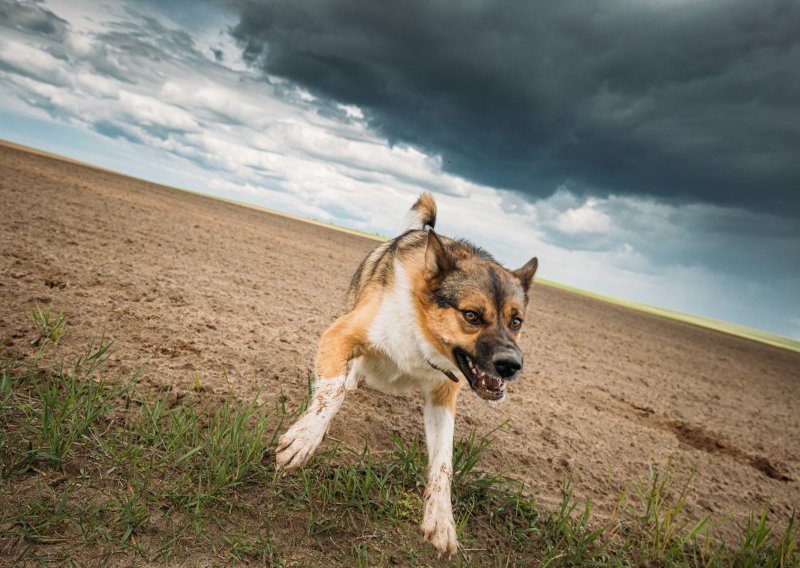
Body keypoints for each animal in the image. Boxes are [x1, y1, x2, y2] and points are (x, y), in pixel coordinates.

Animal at [276, 193, 536, 556]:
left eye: (516, 321)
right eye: (471, 315)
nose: (512, 365)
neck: (421, 329)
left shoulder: (443, 397)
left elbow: (444, 461)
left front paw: (440, 518)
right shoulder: (339, 335)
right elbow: (332, 391)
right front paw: (304, 438)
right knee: (349, 373)